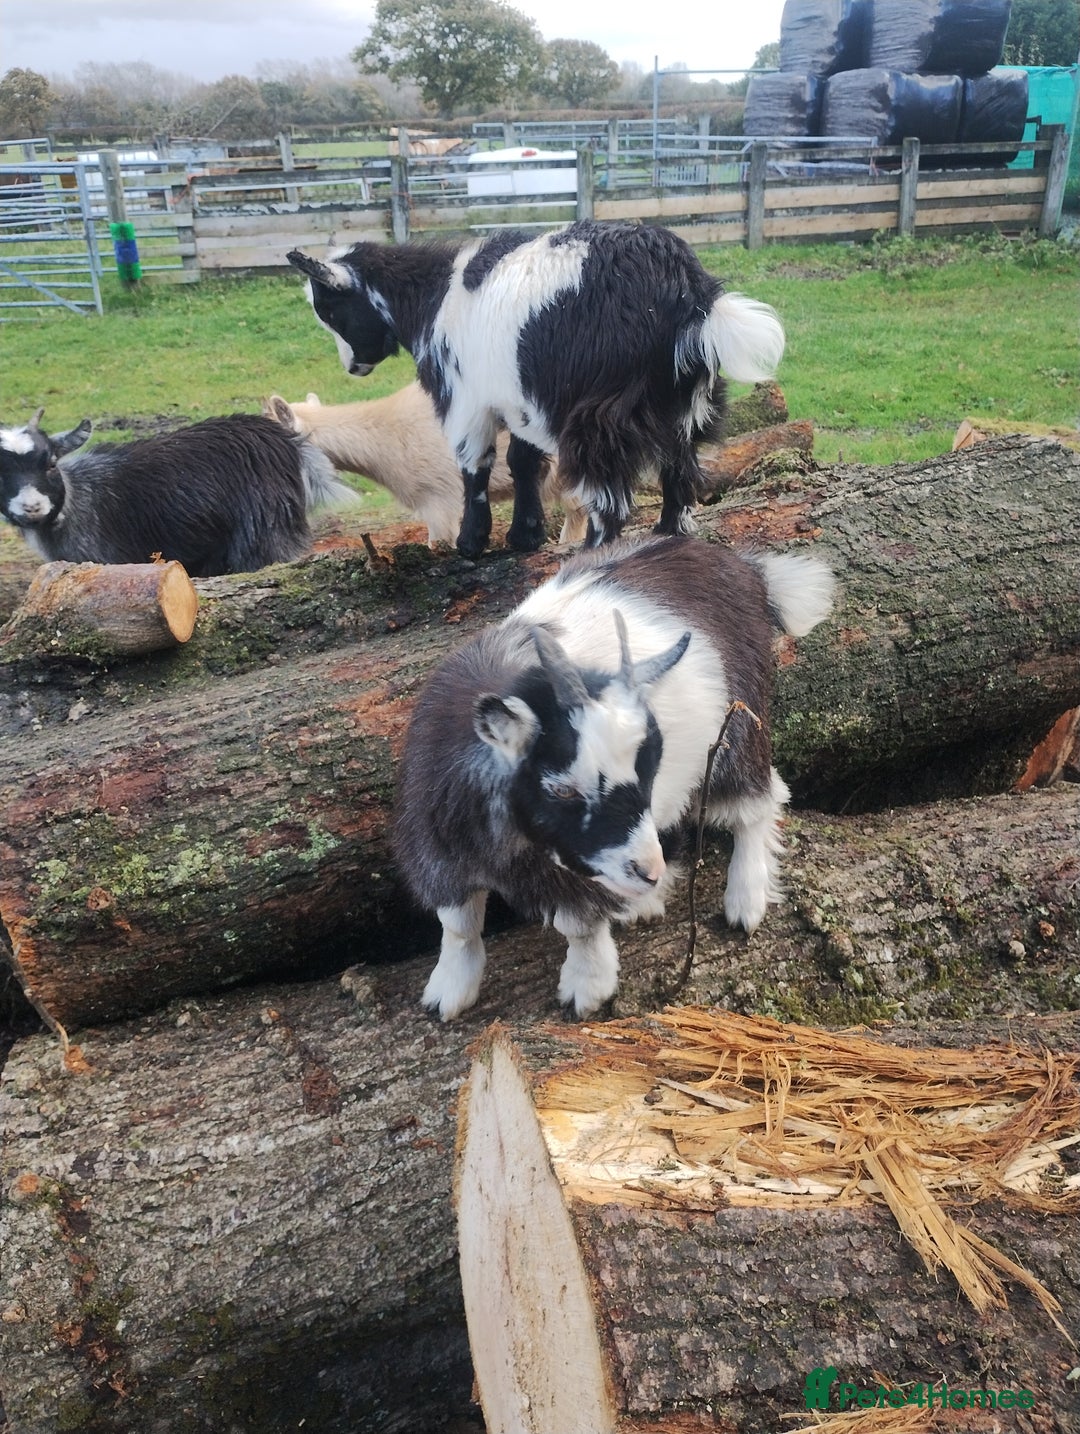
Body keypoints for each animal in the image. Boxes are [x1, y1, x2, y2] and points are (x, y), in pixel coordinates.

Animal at [393, 534, 835, 1020]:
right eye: (561, 787)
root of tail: (748, 569)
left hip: (738, 730)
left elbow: (579, 927)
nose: (648, 869)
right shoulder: (440, 850)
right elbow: (457, 924)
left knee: (759, 802)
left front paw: (587, 989)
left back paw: (745, 900)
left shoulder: (578, 875)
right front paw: (447, 993)